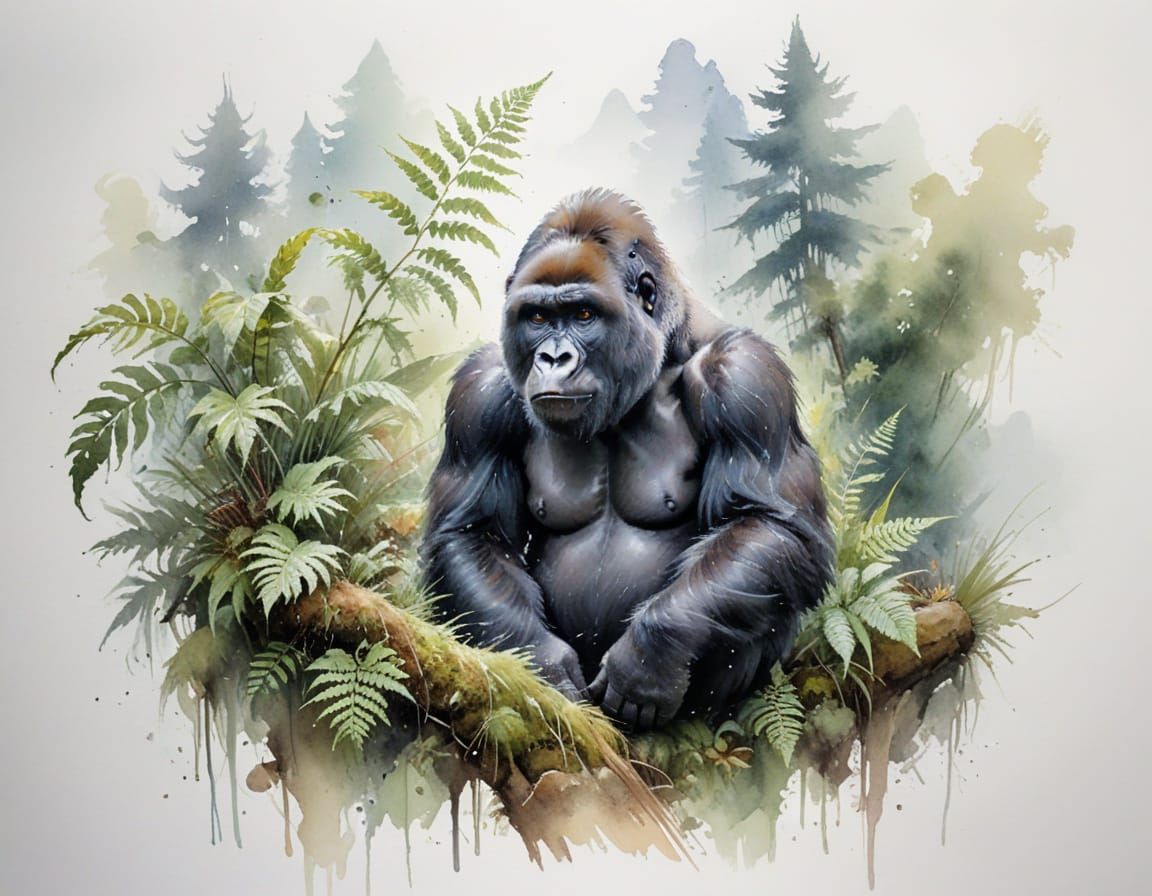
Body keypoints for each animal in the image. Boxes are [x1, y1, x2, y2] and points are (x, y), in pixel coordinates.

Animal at [421, 189, 834, 732]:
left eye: (583, 315)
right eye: (537, 318)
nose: (554, 359)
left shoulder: (746, 375)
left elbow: (768, 522)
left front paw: (649, 655)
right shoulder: (480, 392)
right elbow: (472, 531)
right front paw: (539, 662)